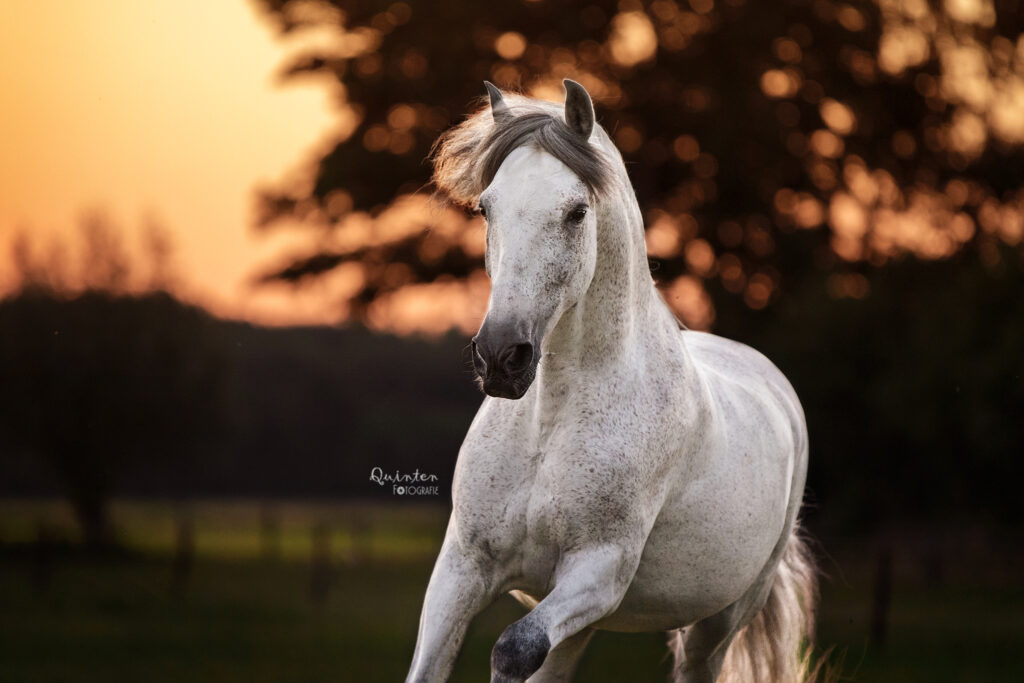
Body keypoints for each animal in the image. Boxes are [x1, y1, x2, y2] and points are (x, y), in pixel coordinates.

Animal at [407, 81, 815, 683]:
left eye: (577, 212)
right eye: (486, 207)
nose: (501, 358)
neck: (550, 423)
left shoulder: (600, 572)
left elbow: (512, 648)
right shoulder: (462, 566)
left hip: (720, 620)